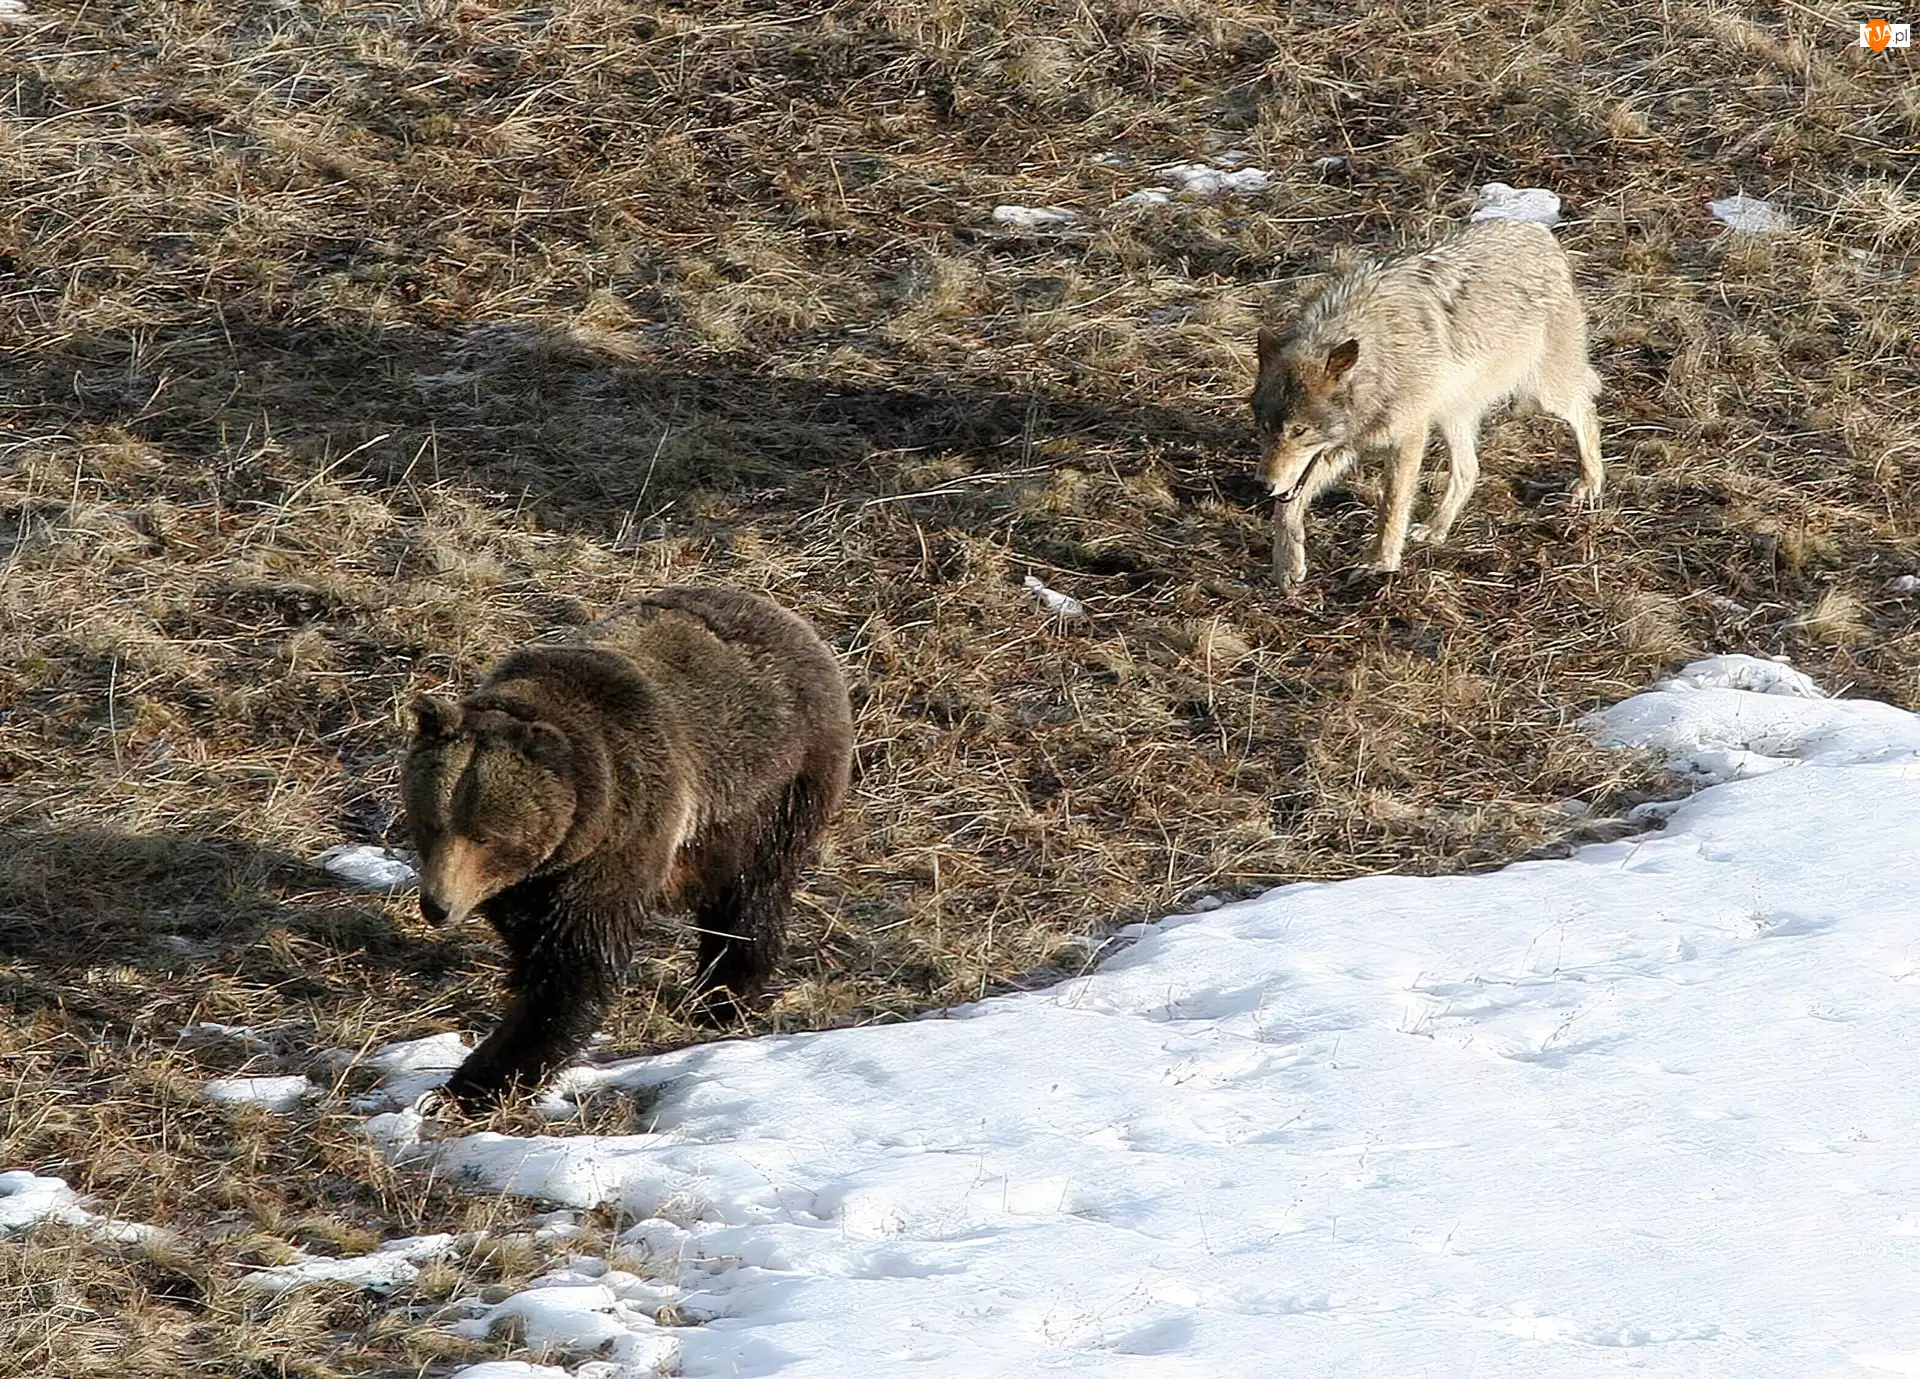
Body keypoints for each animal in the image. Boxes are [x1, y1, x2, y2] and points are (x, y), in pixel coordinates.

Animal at [401, 586, 854, 1109]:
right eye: (430, 823)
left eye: (485, 835)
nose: (437, 905)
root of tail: (790, 619)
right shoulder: (533, 879)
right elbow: (531, 936)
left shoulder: (625, 831)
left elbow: (575, 963)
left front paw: (480, 1080)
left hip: (774, 790)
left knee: (751, 896)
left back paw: (723, 997)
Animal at [1249, 218, 1604, 587]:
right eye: (1265, 428)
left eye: (1299, 431)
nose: (1262, 484)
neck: (1379, 360)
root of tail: (1538, 231)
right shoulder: (1341, 448)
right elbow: (1287, 507)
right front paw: (1287, 565)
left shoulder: (1408, 437)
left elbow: (1391, 506)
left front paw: (1380, 563)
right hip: (1452, 415)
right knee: (1469, 470)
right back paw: (1436, 530)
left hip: (1543, 392)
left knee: (1586, 410)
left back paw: (1589, 483)